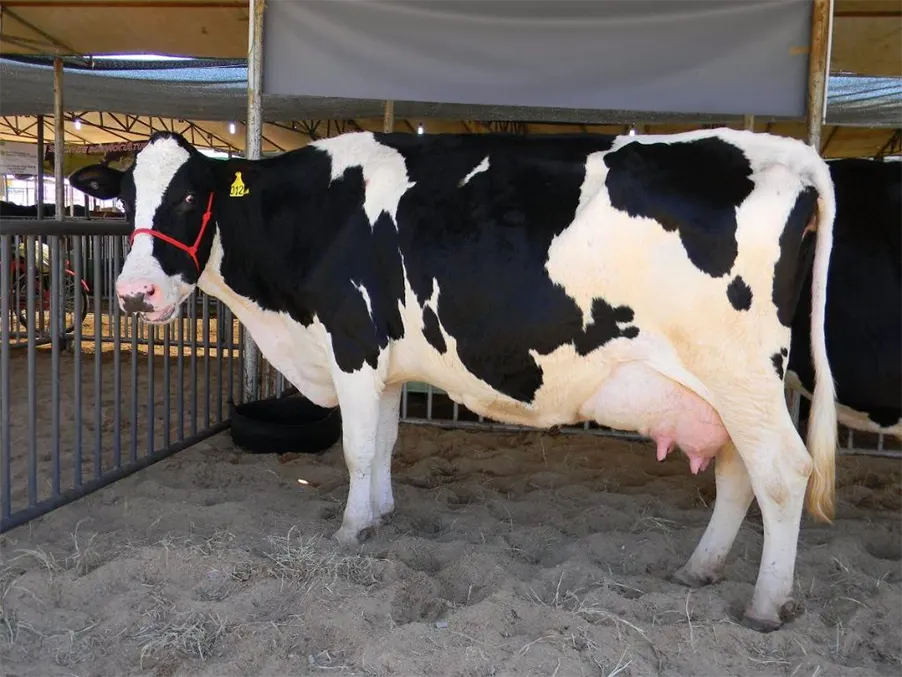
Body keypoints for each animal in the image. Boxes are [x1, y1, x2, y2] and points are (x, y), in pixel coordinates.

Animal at [68, 128, 838, 632]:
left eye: (188, 197)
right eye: (123, 200)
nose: (134, 295)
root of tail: (774, 148)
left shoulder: (352, 342)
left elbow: (355, 448)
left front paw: (350, 529)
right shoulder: (385, 362)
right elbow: (382, 443)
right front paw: (379, 514)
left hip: (741, 373)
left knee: (782, 472)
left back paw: (766, 604)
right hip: (727, 389)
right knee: (740, 473)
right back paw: (700, 568)